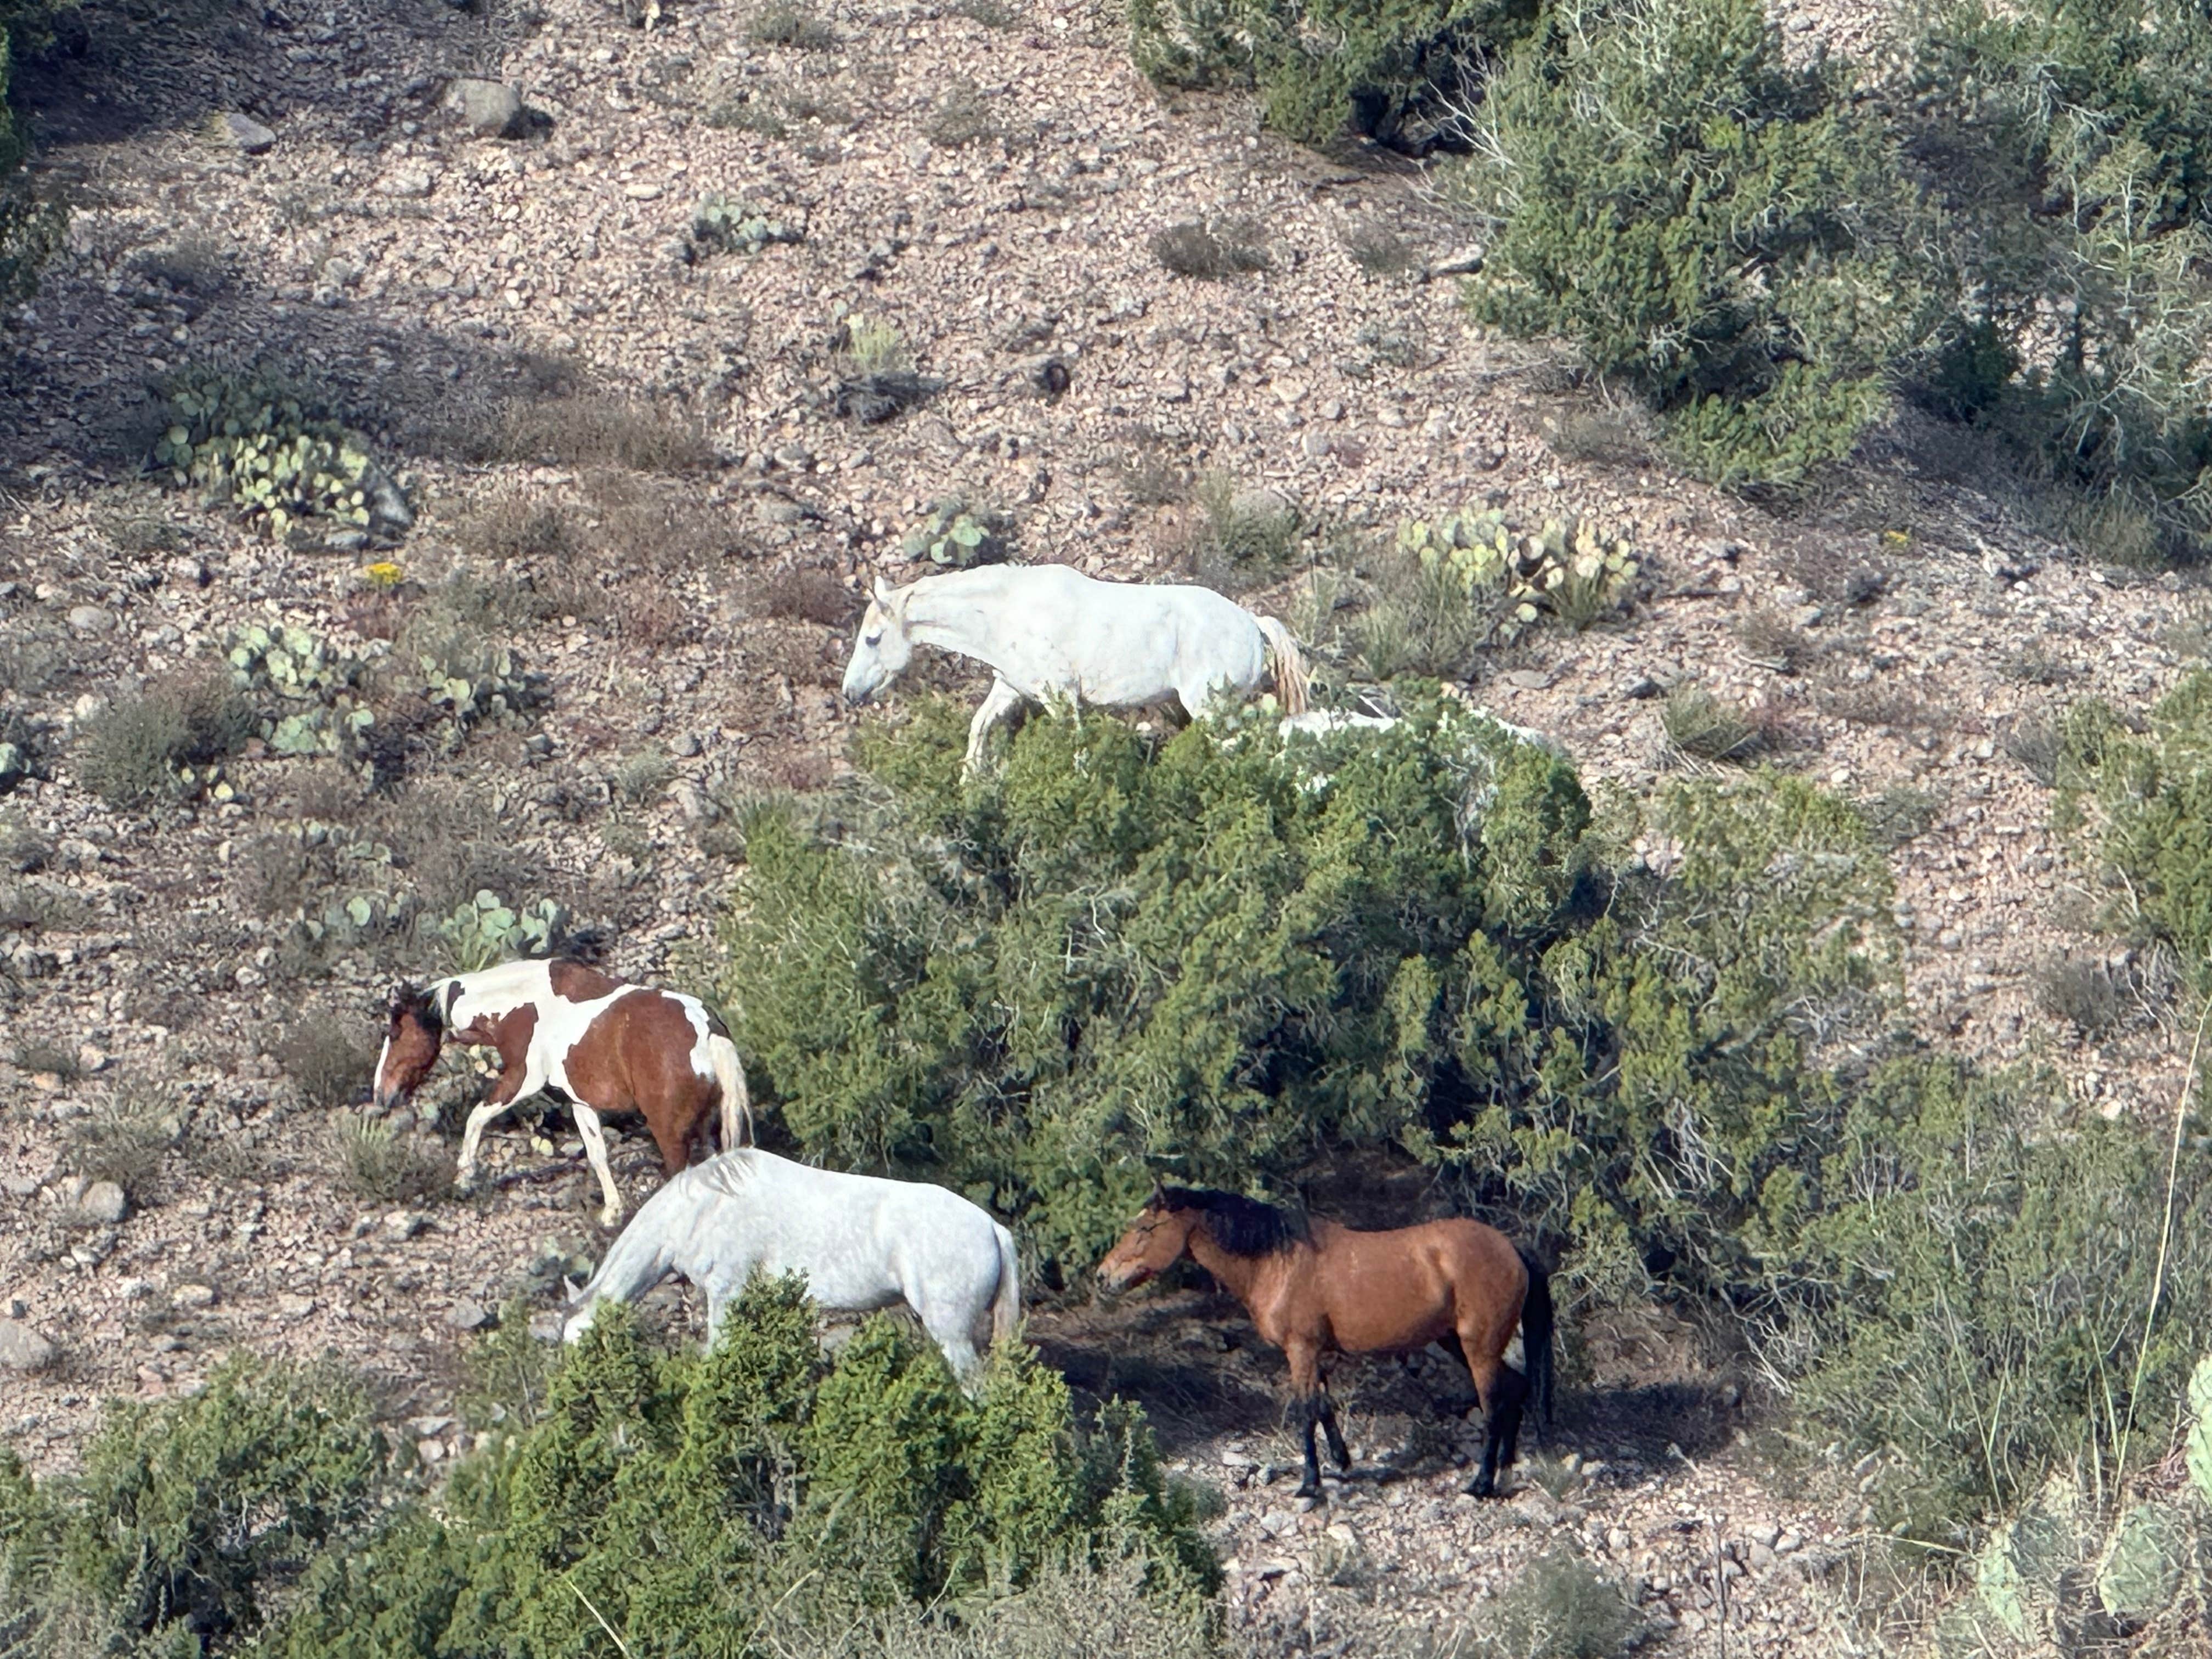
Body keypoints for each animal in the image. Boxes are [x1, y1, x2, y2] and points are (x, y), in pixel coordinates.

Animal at [372, 958, 751, 1229]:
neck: (524, 1005)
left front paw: (463, 1179)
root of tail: (707, 1030)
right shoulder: (581, 1101)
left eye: (396, 1032)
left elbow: (476, 1117)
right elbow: (597, 1154)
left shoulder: (523, 1080)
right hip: (705, 1129)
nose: (381, 1095)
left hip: (670, 1133)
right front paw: (612, 1213)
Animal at [838, 564, 1310, 775]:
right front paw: (971, 782)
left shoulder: (1061, 699)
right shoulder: (1010, 689)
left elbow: (1076, 751)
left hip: (1212, 709)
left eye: (873, 638)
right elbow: (979, 727)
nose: (850, 692)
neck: (1008, 613)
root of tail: (1252, 623)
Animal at [1097, 1187, 1553, 1501]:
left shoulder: (1299, 1350)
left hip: (1477, 1348)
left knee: (1494, 1407)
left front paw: (1310, 1484)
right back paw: (1505, 1472)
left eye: (1145, 1228)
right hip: (1457, 1343)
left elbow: (1305, 1411)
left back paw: (1481, 1483)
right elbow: (1324, 1406)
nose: (1103, 1276)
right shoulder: (1314, 1353)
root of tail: (1512, 1249)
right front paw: (1341, 1462)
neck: (1277, 1262)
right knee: (1515, 1390)